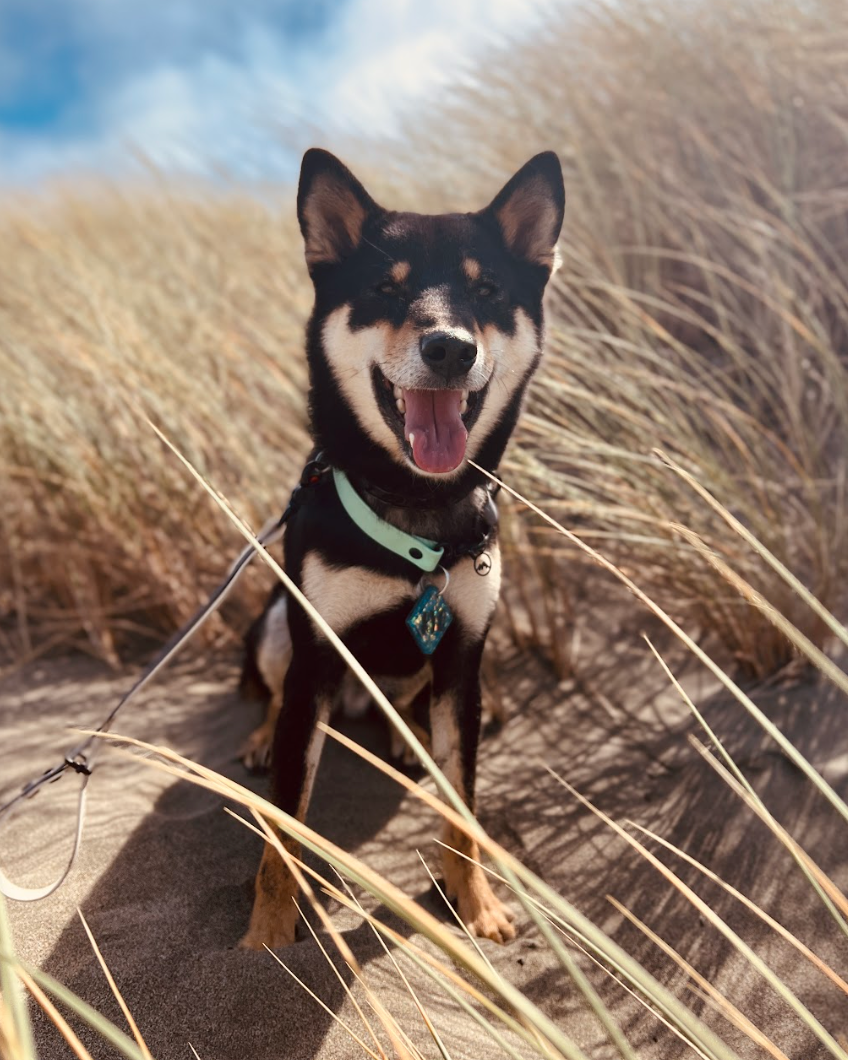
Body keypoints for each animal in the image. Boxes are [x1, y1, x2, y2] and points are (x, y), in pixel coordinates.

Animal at [238, 145, 563, 949]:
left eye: (487, 290)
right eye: (386, 289)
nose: (450, 348)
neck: (415, 513)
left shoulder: (462, 661)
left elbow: (463, 815)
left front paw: (476, 906)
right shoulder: (315, 657)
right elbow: (284, 829)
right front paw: (265, 938)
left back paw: (402, 734)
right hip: (274, 621)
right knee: (270, 690)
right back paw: (261, 737)